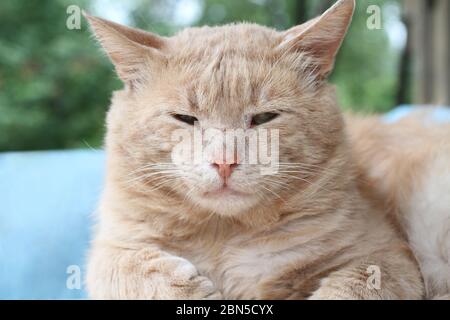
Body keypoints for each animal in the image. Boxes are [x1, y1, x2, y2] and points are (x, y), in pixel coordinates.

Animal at [84, 0, 436, 300]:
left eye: (264, 118)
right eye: (185, 118)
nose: (224, 161)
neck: (224, 234)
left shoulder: (387, 256)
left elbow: (352, 286)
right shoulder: (112, 247)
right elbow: (125, 267)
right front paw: (186, 289)